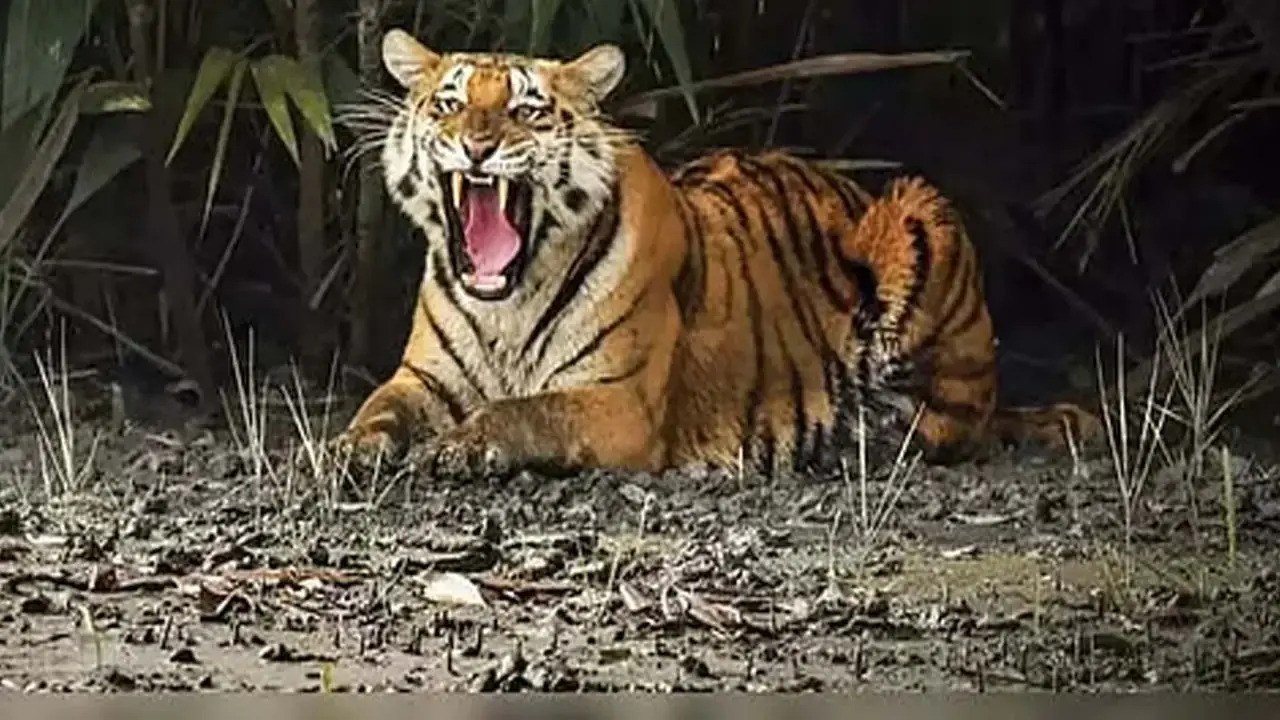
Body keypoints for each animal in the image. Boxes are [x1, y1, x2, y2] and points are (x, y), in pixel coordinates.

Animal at [331, 28, 1098, 482]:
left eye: (526, 110)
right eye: (449, 104)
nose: (478, 146)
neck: (507, 305)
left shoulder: (619, 401)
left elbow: (526, 412)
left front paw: (460, 446)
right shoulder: (422, 379)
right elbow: (378, 408)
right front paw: (348, 449)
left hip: (921, 212)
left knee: (950, 424)